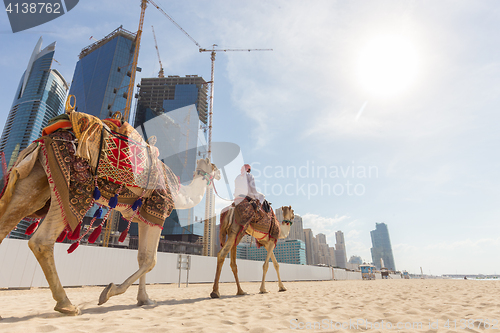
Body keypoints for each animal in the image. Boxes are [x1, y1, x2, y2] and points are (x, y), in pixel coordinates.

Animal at [0, 111, 221, 314]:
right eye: (213, 165)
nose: (218, 174)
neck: (180, 193)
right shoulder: (158, 210)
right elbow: (151, 260)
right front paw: (108, 292)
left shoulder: (144, 218)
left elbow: (143, 257)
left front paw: (144, 300)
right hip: (74, 186)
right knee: (42, 240)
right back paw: (67, 304)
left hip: (37, 181)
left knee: (8, 220)